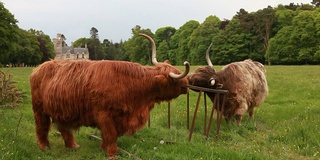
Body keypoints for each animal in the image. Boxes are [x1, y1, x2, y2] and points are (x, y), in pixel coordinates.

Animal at [29, 33, 190, 159]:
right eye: (175, 80)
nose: (188, 83)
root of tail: (39, 68)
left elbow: (108, 136)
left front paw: (103, 149)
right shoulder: (104, 114)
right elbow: (111, 134)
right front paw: (112, 153)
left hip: (62, 110)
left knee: (64, 128)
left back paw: (73, 146)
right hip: (39, 108)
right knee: (42, 126)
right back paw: (44, 147)